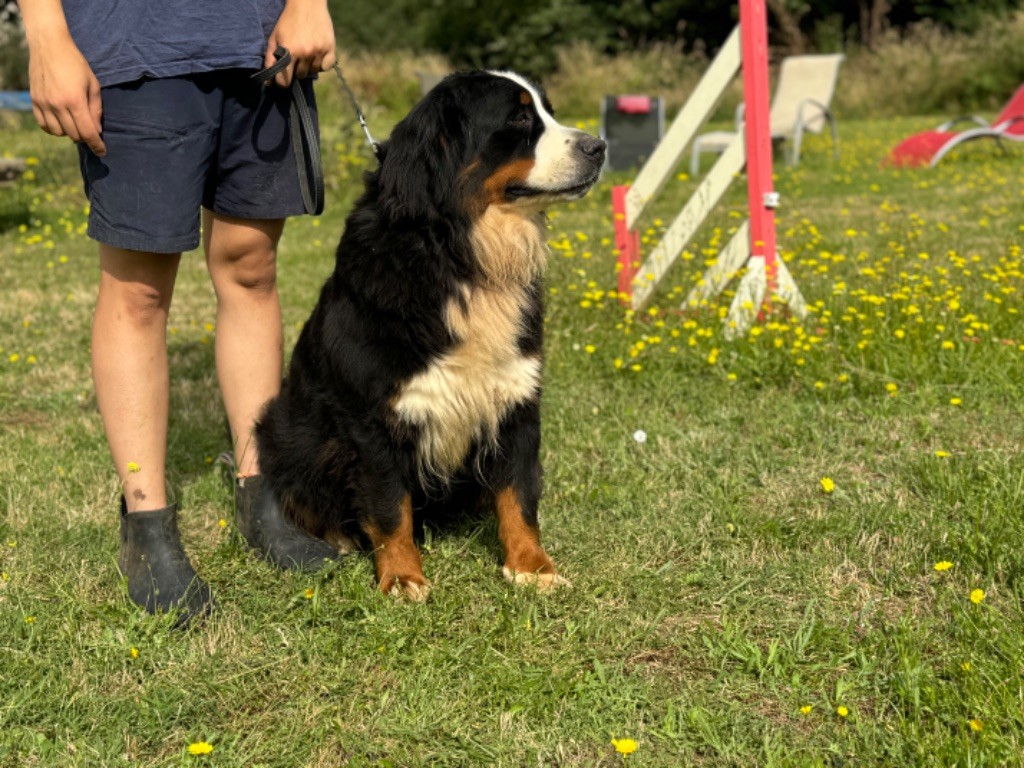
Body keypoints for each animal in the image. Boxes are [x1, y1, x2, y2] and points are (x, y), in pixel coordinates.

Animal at [254, 70, 602, 602]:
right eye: (519, 119)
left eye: (548, 110)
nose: (598, 146)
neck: (463, 253)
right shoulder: (373, 417)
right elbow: (388, 505)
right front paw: (402, 577)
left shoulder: (517, 399)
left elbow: (519, 492)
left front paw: (531, 565)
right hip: (283, 429)